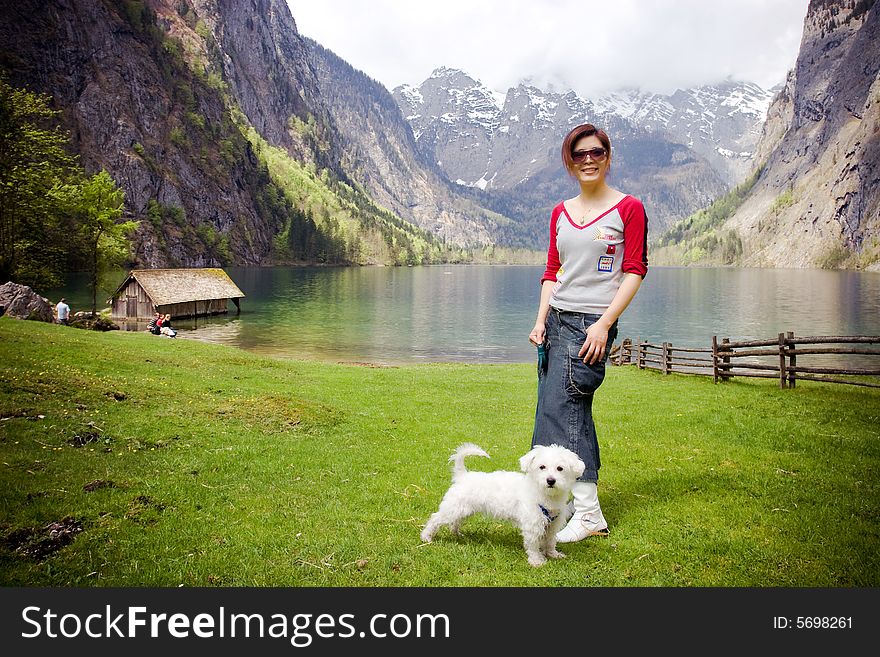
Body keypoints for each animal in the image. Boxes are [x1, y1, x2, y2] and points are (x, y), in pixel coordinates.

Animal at [420, 444, 584, 568]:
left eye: (560, 468)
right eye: (542, 467)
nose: (550, 480)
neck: (544, 495)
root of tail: (463, 475)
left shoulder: (552, 525)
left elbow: (550, 541)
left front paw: (552, 554)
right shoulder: (532, 525)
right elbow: (533, 545)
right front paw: (536, 561)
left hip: (463, 509)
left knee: (455, 521)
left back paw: (456, 534)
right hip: (452, 508)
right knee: (435, 519)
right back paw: (426, 537)